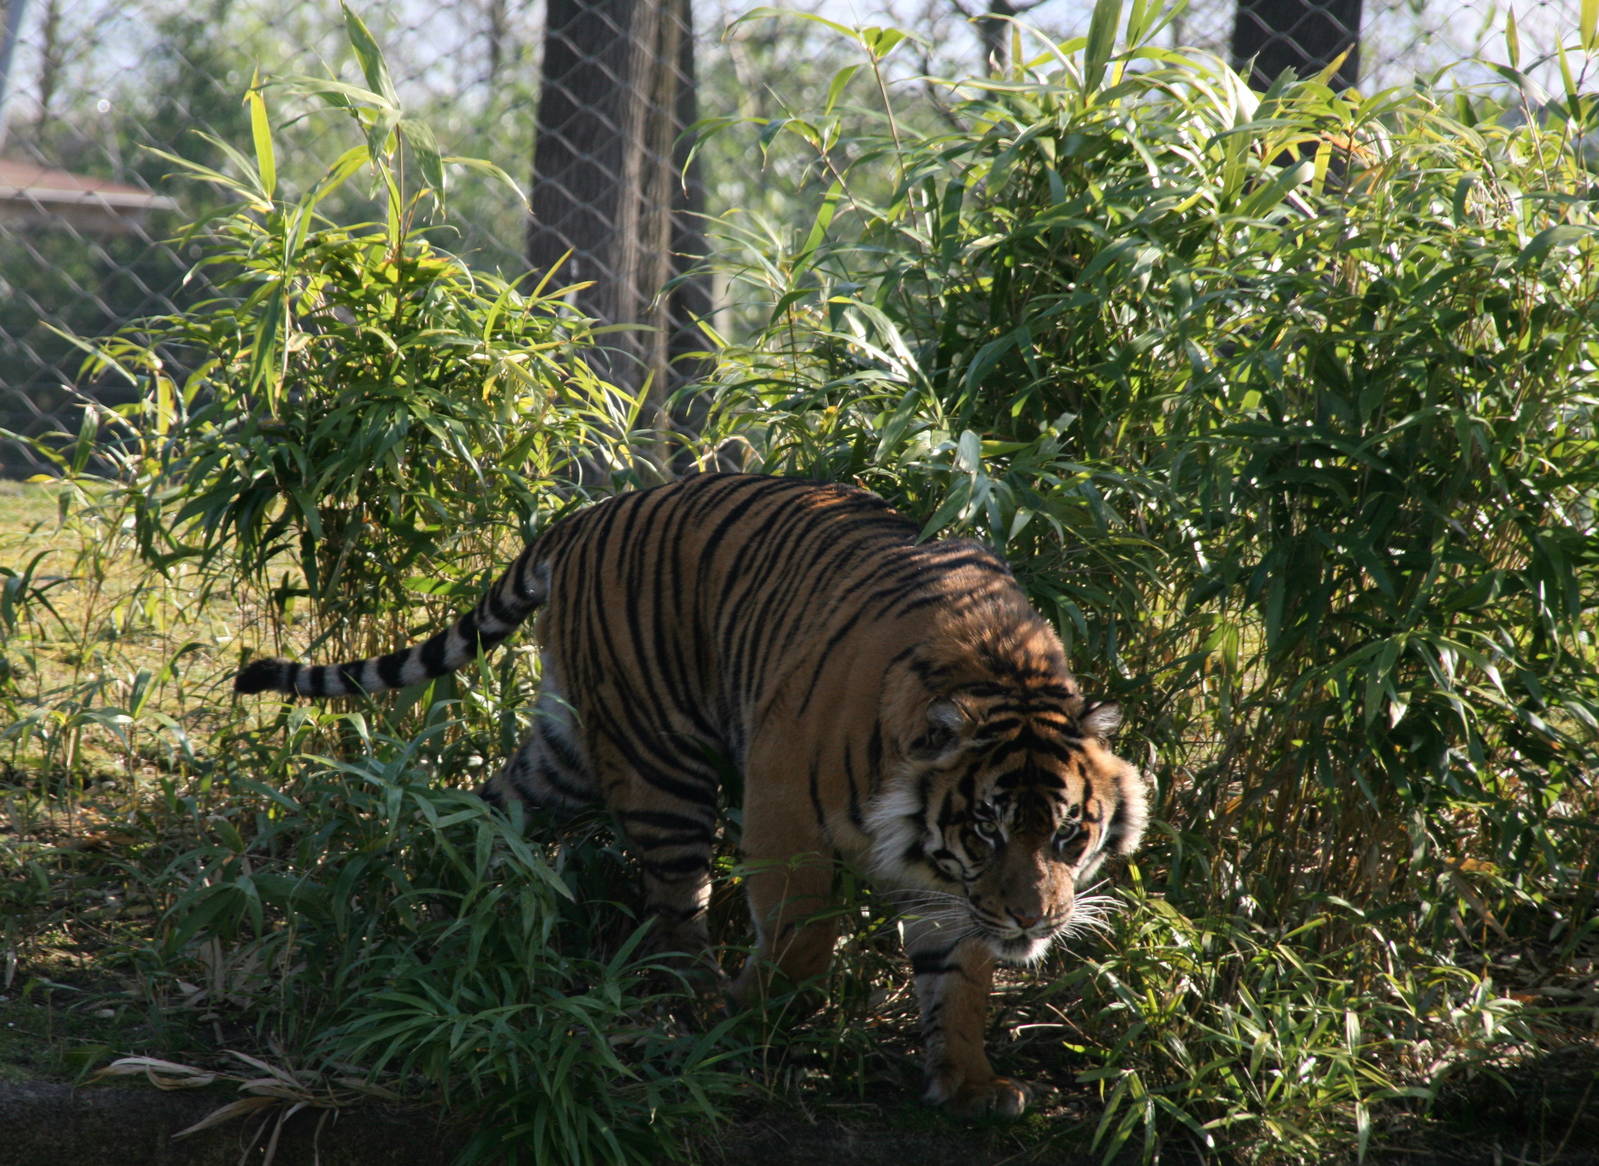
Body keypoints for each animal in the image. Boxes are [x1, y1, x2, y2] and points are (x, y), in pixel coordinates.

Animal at [234, 472, 1148, 1114]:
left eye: (1067, 835)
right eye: (988, 830)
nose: (1035, 920)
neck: (1001, 679)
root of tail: (583, 516)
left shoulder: (946, 886)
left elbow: (957, 978)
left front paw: (968, 1082)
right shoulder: (785, 807)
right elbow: (802, 938)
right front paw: (756, 1016)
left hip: (567, 749)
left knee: (489, 810)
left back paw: (447, 897)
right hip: (659, 763)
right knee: (673, 910)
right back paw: (701, 1009)